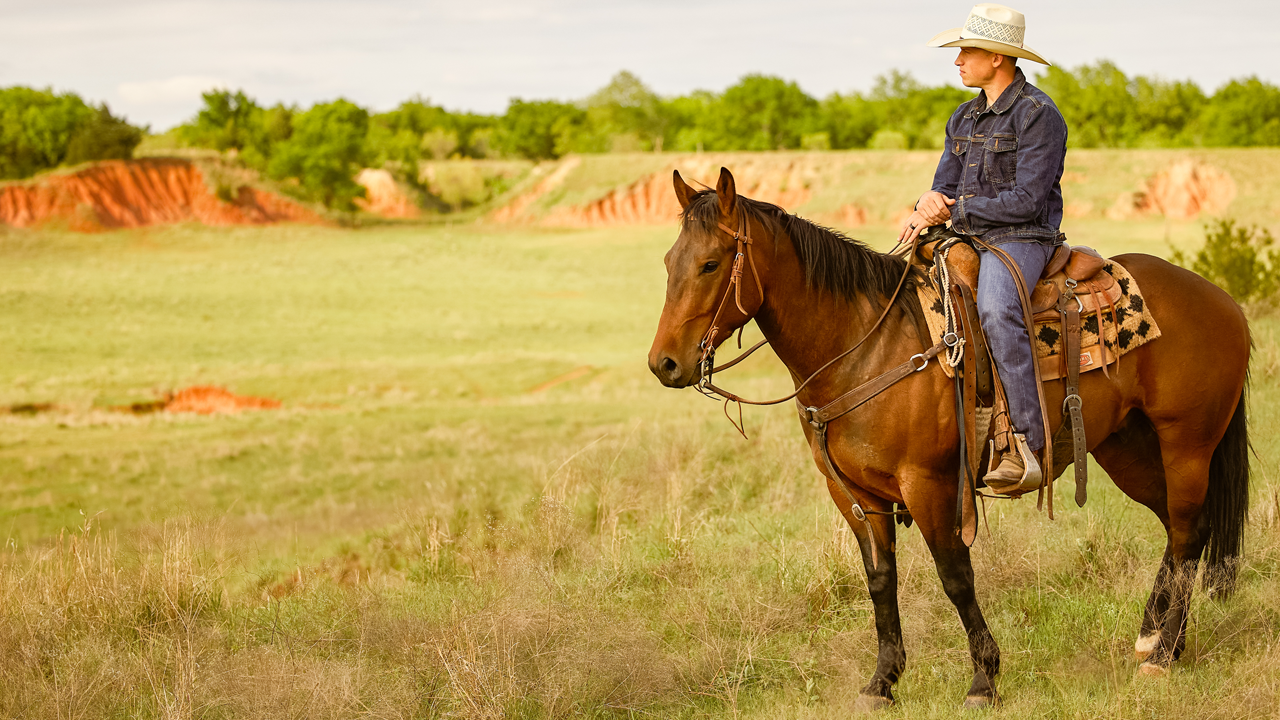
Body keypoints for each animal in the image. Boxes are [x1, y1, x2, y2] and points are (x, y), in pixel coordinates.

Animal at [650, 166, 1249, 707]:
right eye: (669, 262)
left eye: (710, 263)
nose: (664, 364)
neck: (863, 347)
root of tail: (1223, 299)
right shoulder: (855, 495)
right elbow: (880, 579)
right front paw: (882, 682)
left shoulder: (929, 484)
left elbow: (955, 575)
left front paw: (984, 680)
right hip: (1126, 448)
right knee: (1179, 529)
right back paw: (1160, 643)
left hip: (1186, 445)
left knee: (1188, 531)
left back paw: (1163, 653)